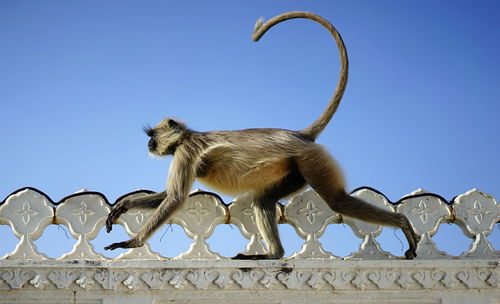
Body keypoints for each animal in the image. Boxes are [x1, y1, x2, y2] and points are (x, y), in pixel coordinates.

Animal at [105, 11, 422, 258]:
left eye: (152, 135)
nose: (149, 143)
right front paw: (123, 206)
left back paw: (403, 222)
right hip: (296, 170)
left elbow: (175, 199)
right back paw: (273, 254)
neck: (188, 136)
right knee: (264, 201)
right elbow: (167, 195)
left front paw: (132, 242)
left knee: (337, 202)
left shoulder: (186, 151)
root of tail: (298, 134)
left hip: (311, 160)